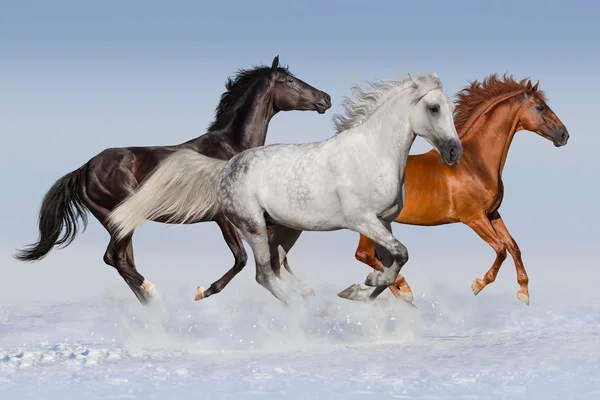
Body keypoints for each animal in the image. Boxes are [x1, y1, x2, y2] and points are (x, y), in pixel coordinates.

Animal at [109, 73, 464, 304]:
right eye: (434, 108)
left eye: (450, 107)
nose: (454, 152)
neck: (371, 153)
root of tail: (226, 167)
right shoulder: (362, 220)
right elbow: (401, 255)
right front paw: (362, 286)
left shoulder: (384, 222)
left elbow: (392, 264)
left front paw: (358, 290)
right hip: (252, 226)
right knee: (264, 274)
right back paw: (301, 314)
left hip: (286, 228)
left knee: (277, 265)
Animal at [340, 75, 568, 304]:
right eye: (540, 107)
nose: (564, 135)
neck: (474, 163)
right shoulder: (473, 218)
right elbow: (501, 249)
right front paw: (478, 284)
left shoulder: (492, 213)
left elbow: (513, 246)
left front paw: (523, 291)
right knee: (364, 255)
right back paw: (398, 289)